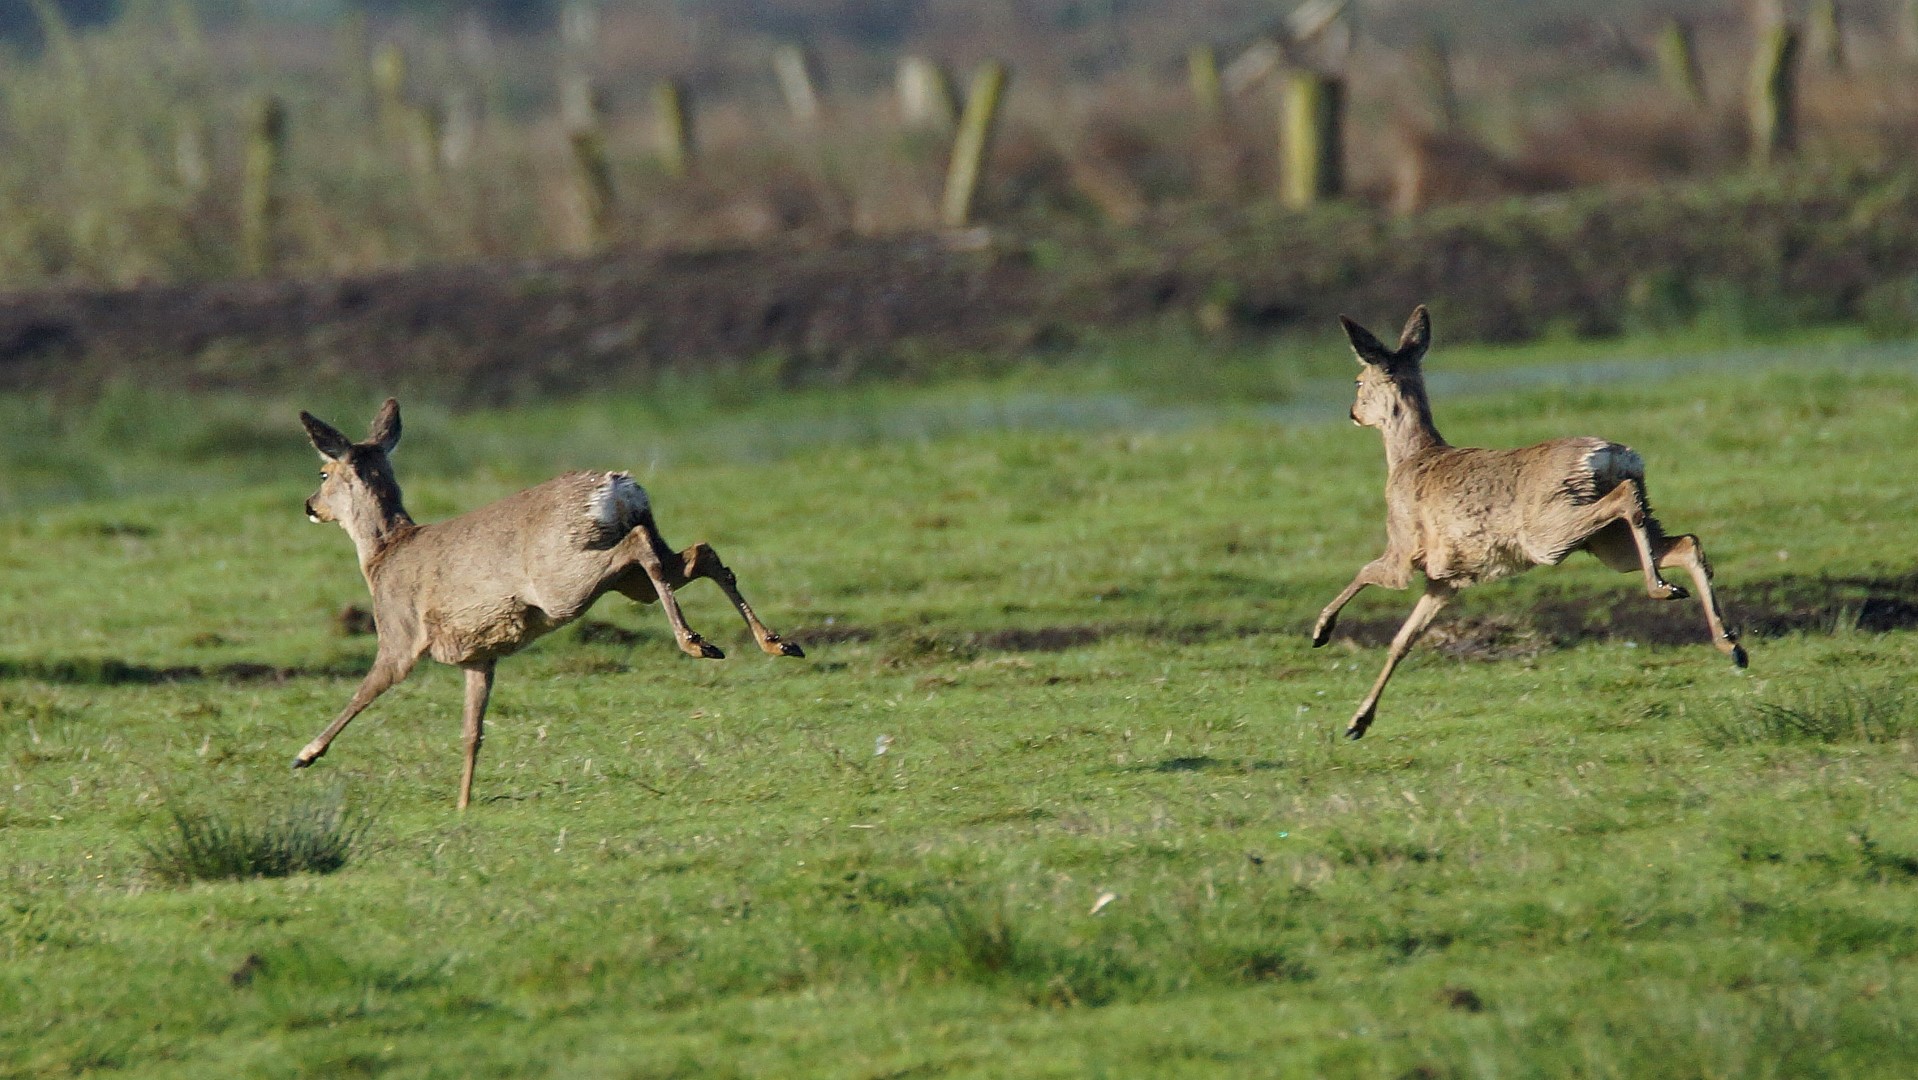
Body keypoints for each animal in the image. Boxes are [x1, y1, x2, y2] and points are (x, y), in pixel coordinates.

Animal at [293, 399, 804, 809]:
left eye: (323, 472)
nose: (309, 505)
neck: (383, 556)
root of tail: (618, 487)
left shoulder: (398, 635)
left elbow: (364, 691)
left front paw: (305, 755)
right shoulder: (480, 656)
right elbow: (472, 731)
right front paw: (463, 803)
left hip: (564, 582)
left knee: (643, 546)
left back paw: (697, 642)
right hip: (627, 576)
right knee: (699, 553)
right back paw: (776, 643)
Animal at [1312, 305, 1746, 740]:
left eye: (1357, 380)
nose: (1352, 413)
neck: (1409, 459)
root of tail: (1613, 456)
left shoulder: (1404, 550)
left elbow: (1365, 571)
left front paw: (1321, 632)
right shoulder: (1446, 580)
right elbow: (1402, 640)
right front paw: (1357, 723)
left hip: (1549, 530)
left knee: (1627, 501)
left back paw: (1664, 591)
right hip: (1609, 543)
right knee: (1685, 542)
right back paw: (1730, 645)